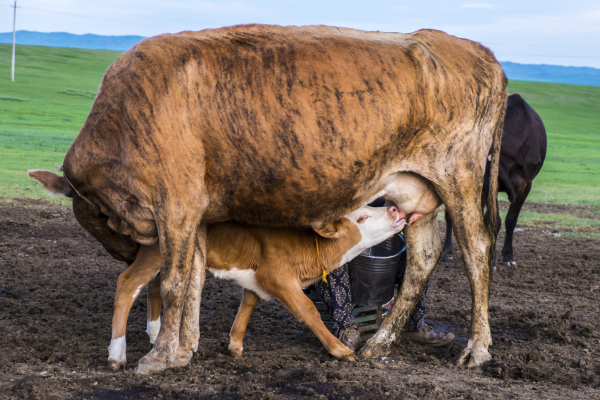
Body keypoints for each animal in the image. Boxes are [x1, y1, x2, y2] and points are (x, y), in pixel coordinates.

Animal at [28, 25, 506, 374]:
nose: (134, 254)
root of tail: (475, 51)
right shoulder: (197, 214)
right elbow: (195, 278)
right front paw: (183, 350)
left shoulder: (176, 207)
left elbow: (177, 280)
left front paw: (159, 356)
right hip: (415, 191)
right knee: (422, 260)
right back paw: (380, 342)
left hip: (459, 180)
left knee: (476, 252)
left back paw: (477, 349)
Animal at [442, 94, 548, 268]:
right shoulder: (491, 186)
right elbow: (495, 221)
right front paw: (492, 260)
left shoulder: (526, 184)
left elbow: (511, 219)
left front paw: (508, 257)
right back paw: (448, 253)